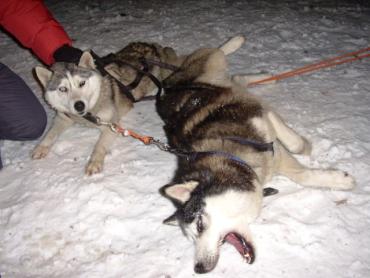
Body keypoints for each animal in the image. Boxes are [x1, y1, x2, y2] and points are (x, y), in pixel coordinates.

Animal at [33, 42, 179, 175]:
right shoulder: (63, 117)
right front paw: (41, 147)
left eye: (82, 83)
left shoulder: (112, 125)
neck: (87, 115)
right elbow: (51, 133)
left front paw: (94, 162)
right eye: (62, 89)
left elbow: (100, 145)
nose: (79, 105)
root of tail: (151, 45)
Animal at [156, 35, 356, 272]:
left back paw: (236, 42)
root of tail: (169, 85)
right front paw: (337, 179)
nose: (199, 268)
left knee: (218, 54)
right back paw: (263, 76)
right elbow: (302, 174)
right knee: (236, 78)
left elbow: (295, 146)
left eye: (200, 224)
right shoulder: (271, 153)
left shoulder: (262, 119)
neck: (233, 157)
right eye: (191, 238)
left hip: (212, 63)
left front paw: (309, 150)